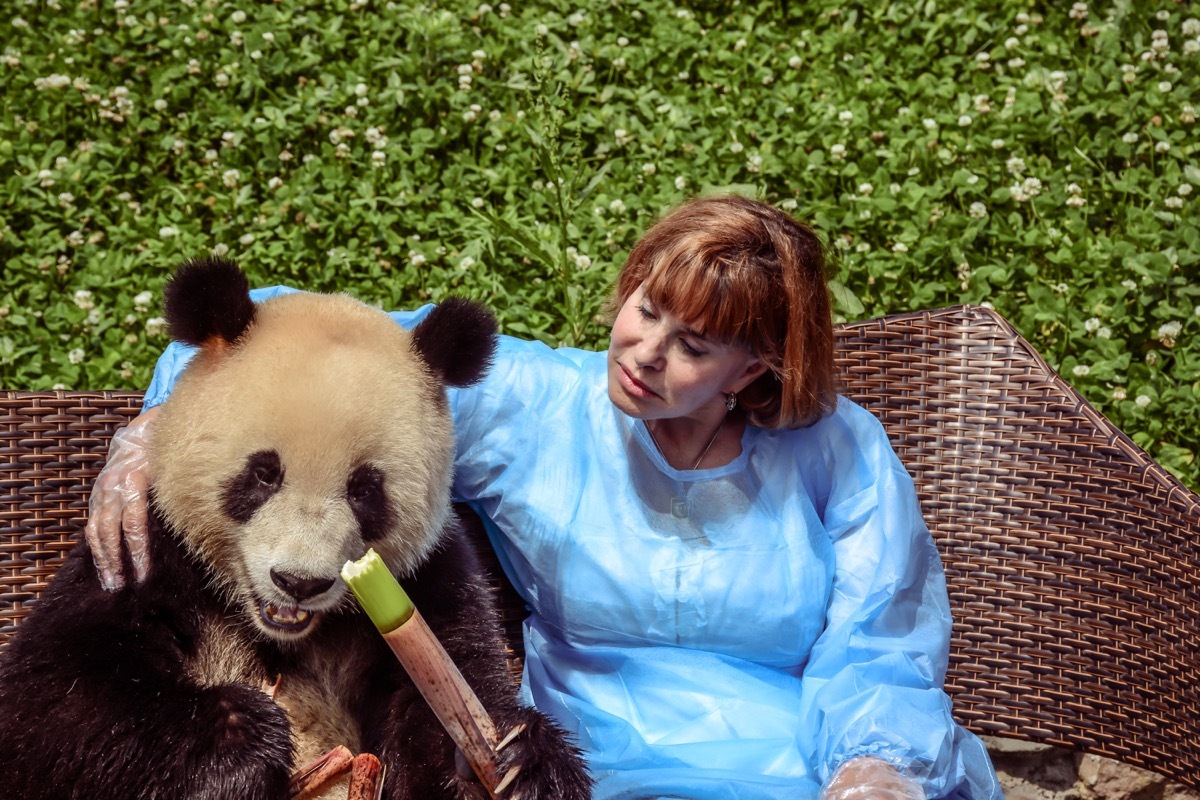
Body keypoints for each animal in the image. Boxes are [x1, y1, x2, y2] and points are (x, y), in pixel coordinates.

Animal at [0, 257, 592, 800]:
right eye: (264, 473)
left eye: (364, 489)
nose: (299, 583)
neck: (283, 631)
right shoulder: (145, 550)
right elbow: (47, 707)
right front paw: (239, 734)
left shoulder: (428, 580)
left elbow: (452, 691)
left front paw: (519, 761)